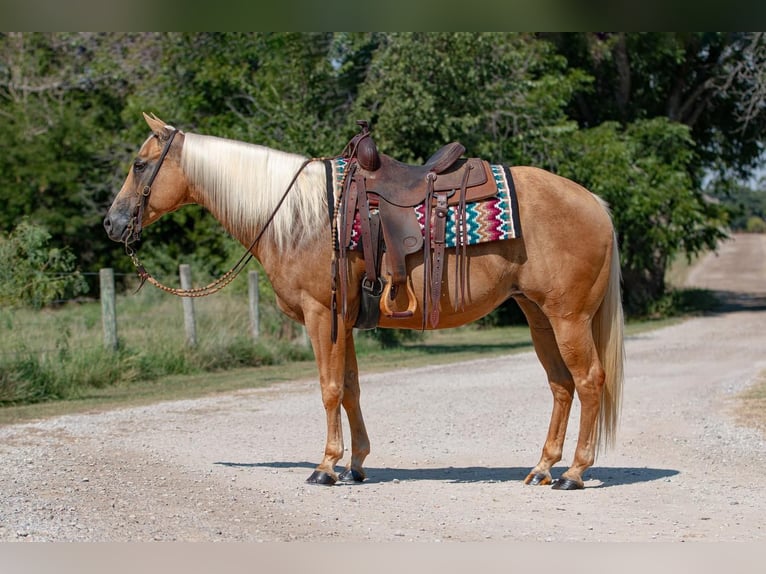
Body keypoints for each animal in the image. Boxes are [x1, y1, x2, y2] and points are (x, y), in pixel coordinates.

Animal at [105, 112, 628, 490]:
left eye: (139, 164)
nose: (112, 223)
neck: (301, 216)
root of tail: (595, 203)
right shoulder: (346, 318)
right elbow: (352, 388)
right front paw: (355, 464)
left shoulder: (322, 315)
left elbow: (329, 388)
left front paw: (326, 466)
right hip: (539, 316)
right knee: (561, 386)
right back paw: (542, 469)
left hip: (569, 318)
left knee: (588, 381)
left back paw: (575, 473)